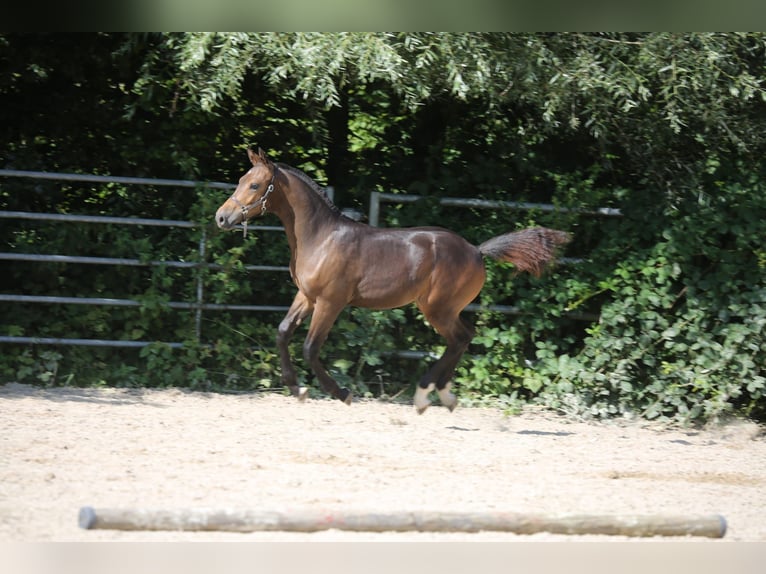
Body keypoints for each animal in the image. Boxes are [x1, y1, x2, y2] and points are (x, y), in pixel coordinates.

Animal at [214, 150, 568, 414]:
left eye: (255, 185)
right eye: (241, 180)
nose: (222, 217)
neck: (321, 237)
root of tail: (476, 251)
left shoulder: (330, 302)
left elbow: (311, 347)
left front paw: (341, 393)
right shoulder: (306, 296)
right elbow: (283, 332)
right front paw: (296, 387)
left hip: (437, 308)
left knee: (460, 338)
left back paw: (425, 395)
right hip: (442, 308)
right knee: (464, 337)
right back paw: (442, 395)